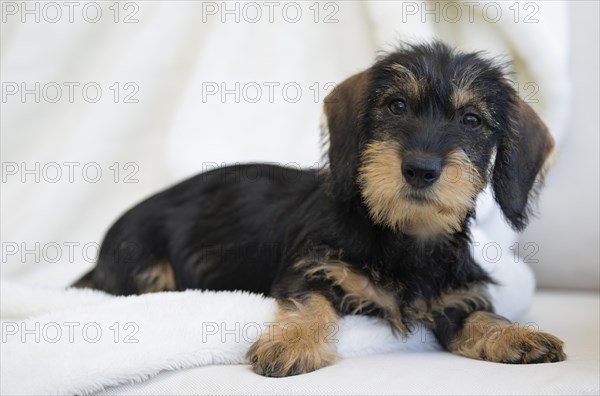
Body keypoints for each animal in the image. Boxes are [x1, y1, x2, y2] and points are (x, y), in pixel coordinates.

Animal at [72, 41, 564, 378]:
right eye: (396, 105)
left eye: (472, 120)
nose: (421, 169)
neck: (401, 236)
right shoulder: (310, 269)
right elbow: (310, 307)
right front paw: (291, 344)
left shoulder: (457, 299)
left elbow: (483, 315)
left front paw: (518, 335)